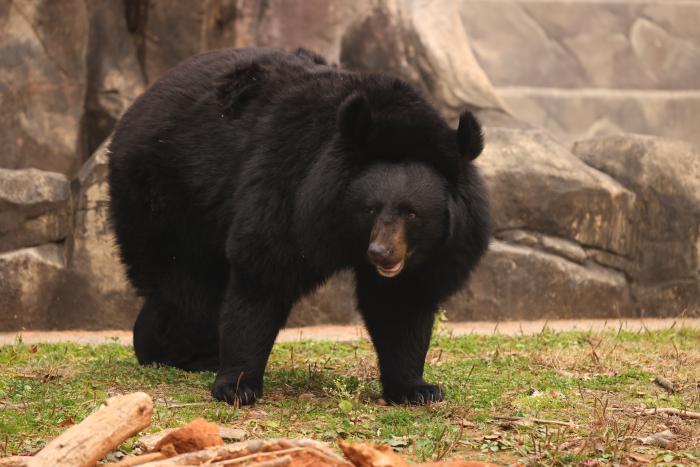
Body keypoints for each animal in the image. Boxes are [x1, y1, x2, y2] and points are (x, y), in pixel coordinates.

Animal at [110, 48, 492, 406]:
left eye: (412, 214)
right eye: (369, 208)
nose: (381, 253)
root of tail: (139, 104)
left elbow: (401, 303)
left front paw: (418, 389)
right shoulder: (290, 189)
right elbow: (262, 273)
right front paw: (237, 386)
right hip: (166, 196)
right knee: (186, 291)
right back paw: (180, 353)